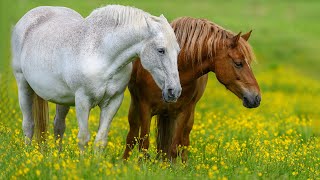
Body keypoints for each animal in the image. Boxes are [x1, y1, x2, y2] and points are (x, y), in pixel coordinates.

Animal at [11, 4, 181, 150]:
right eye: (161, 50)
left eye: (178, 50)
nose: (175, 91)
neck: (102, 55)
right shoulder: (82, 100)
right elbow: (83, 138)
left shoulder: (112, 102)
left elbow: (100, 140)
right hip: (23, 85)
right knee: (28, 125)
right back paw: (28, 154)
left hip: (62, 99)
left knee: (58, 127)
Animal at [122, 16, 260, 162]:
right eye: (238, 63)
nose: (256, 98)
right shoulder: (145, 107)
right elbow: (143, 143)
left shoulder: (183, 112)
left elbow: (174, 147)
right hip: (136, 107)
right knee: (132, 137)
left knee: (184, 141)